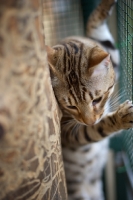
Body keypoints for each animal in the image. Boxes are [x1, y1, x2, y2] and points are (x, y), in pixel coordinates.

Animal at [46, 0, 132, 200]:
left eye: (97, 99)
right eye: (70, 106)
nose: (90, 121)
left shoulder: (110, 57)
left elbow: (98, 31)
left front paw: (104, 7)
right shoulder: (70, 132)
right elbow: (95, 130)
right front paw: (121, 116)